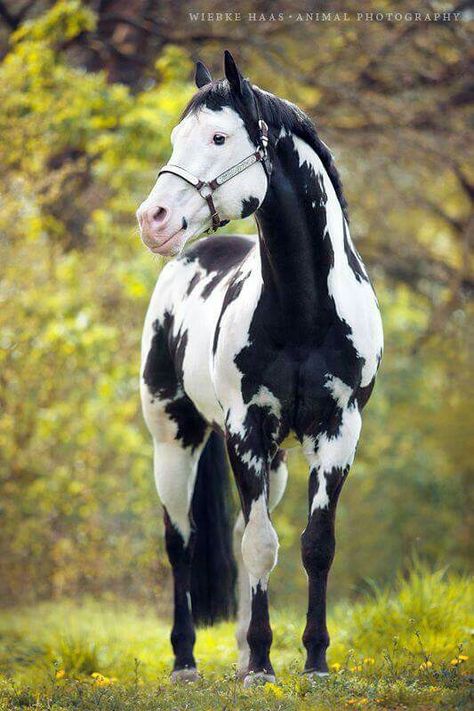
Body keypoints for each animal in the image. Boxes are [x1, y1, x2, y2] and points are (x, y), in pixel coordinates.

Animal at [136, 52, 382, 688]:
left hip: (275, 461)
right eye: (176, 138)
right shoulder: (244, 428)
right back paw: (186, 661)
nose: (152, 219)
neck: (302, 311)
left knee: (247, 530)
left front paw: (313, 661)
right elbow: (259, 547)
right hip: (175, 440)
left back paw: (244, 652)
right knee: (182, 543)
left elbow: (314, 545)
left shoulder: (338, 429)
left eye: (220, 138)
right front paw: (266, 666)